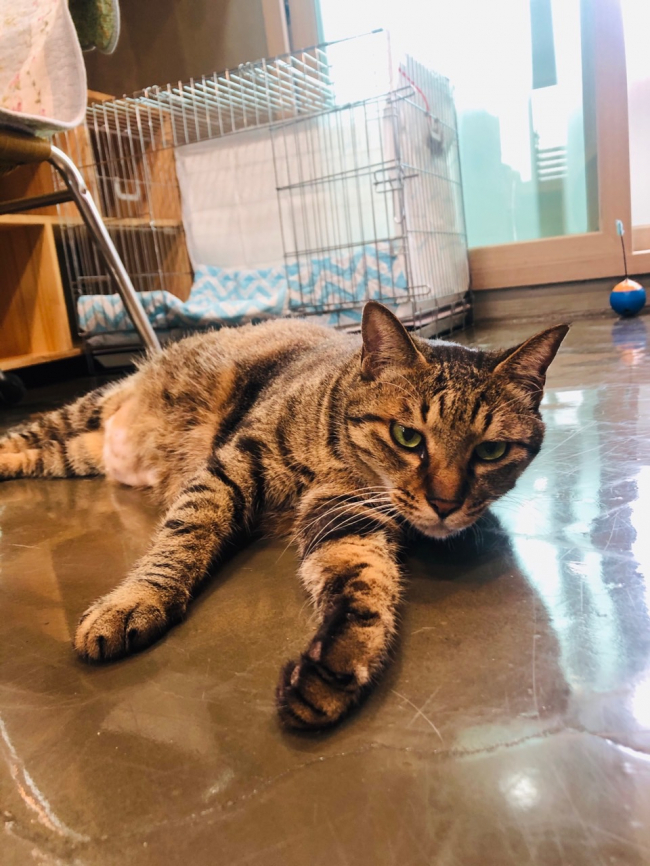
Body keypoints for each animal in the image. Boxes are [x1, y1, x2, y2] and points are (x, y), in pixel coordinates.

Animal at [0, 302, 568, 729]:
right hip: (83, 410)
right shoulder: (231, 467)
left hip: (71, 456)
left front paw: (338, 664)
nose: (446, 505)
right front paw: (136, 600)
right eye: (408, 437)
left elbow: (364, 584)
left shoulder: (342, 517)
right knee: (23, 432)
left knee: (35, 454)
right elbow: (184, 536)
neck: (337, 448)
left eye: (491, 451)